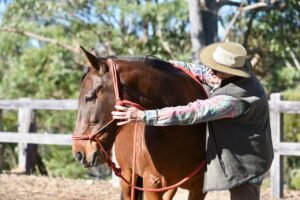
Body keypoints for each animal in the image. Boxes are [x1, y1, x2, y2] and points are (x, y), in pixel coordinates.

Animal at [72, 46, 209, 199]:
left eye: (88, 97)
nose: (79, 153)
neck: (178, 132)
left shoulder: (199, 188)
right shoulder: (151, 184)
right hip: (127, 176)